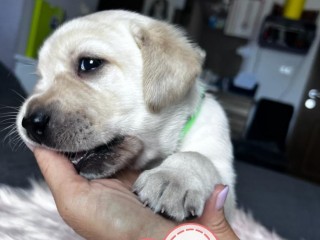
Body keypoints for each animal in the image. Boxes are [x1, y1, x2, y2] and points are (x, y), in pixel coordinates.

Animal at [16, 10, 236, 221]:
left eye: (89, 63)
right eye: (40, 77)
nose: (29, 123)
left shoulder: (227, 195)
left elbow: (198, 157)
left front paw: (173, 178)